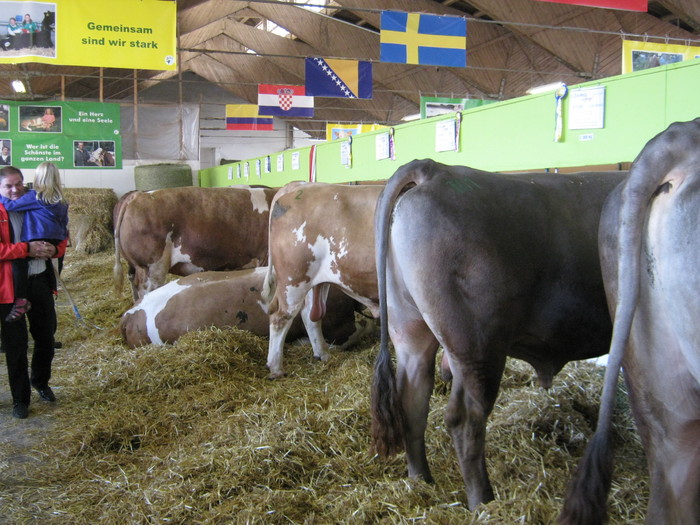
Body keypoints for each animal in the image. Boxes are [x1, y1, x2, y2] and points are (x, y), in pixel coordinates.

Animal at [262, 180, 382, 376]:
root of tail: (301, 185)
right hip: (294, 278)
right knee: (280, 317)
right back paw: (276, 368)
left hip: (317, 281)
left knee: (309, 315)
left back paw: (323, 354)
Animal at [370, 161, 628, 512]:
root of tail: (435, 169)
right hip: (477, 345)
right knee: (465, 418)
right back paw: (483, 501)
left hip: (410, 330)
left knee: (412, 400)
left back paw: (421, 479)